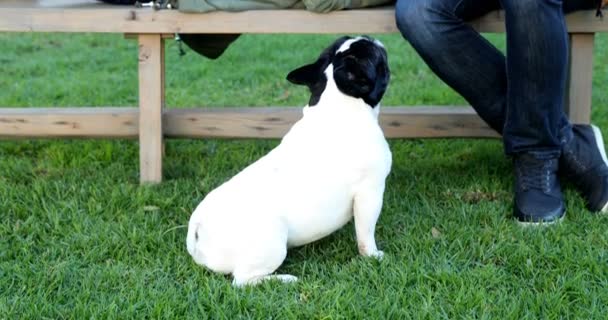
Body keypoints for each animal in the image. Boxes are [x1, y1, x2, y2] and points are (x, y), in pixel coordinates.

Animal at [186, 35, 390, 288]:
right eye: (372, 55)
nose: (370, 37)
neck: (336, 106)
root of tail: (197, 231)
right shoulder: (370, 193)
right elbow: (365, 232)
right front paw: (373, 256)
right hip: (272, 243)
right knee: (242, 280)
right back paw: (284, 279)